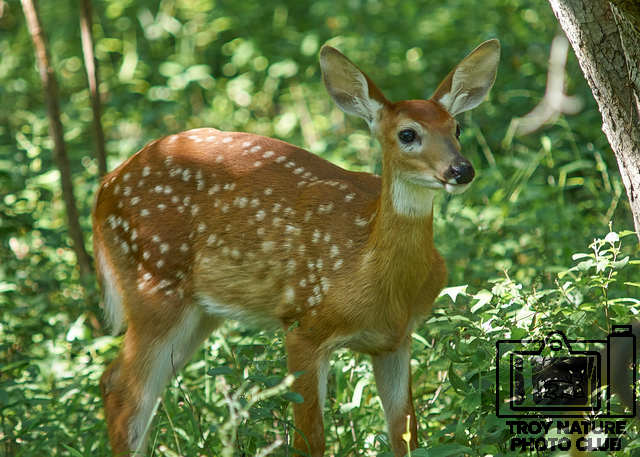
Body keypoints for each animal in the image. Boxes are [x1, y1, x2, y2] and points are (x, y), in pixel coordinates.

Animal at [93, 39, 500, 457]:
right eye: (407, 134)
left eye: (457, 127)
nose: (461, 170)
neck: (367, 270)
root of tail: (105, 186)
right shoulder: (303, 323)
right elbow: (310, 440)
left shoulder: (395, 341)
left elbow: (405, 434)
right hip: (153, 285)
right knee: (123, 391)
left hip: (200, 311)